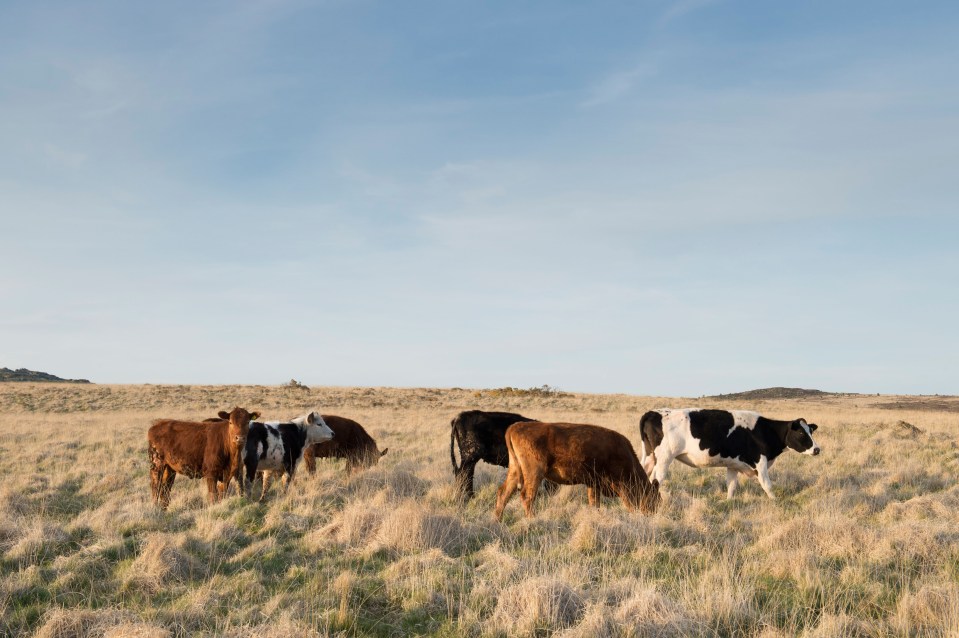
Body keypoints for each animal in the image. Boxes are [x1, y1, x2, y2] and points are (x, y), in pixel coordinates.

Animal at [496, 422, 660, 524]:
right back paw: (532, 519)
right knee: (527, 496)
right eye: (654, 499)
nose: (652, 515)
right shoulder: (621, 485)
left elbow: (594, 503)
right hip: (534, 472)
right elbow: (628, 503)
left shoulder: (594, 484)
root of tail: (515, 427)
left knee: (504, 492)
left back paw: (497, 520)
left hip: (515, 469)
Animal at [640, 410, 820, 500]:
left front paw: (728, 502)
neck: (765, 430)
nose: (817, 449)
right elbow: (767, 485)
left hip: (650, 457)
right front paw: (776, 502)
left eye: (811, 431)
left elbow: (731, 485)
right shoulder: (760, 462)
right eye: (801, 433)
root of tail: (654, 412)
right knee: (656, 479)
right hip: (664, 458)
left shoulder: (733, 464)